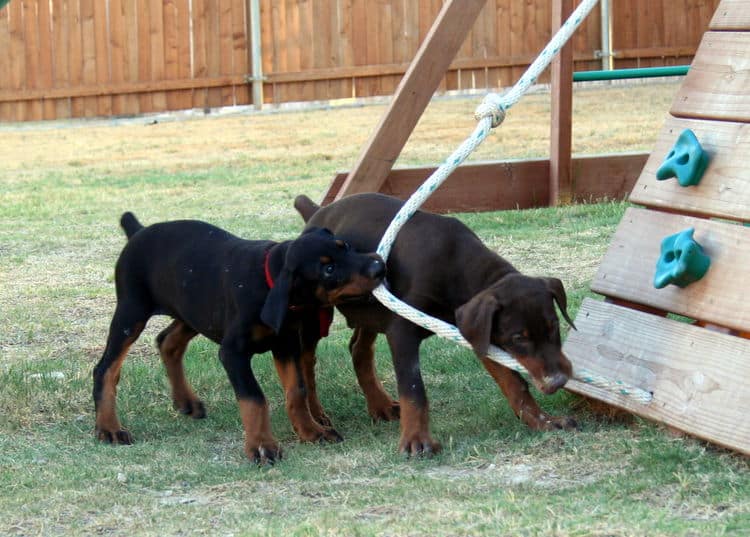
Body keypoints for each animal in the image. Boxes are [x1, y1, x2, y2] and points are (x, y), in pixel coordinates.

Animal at [93, 211, 384, 462]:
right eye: (328, 270)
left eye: (345, 246)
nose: (378, 266)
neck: (268, 280)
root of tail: (139, 231)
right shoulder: (233, 353)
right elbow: (254, 398)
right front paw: (262, 445)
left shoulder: (286, 345)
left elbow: (297, 390)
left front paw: (311, 431)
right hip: (132, 313)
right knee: (105, 368)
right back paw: (109, 428)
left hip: (196, 310)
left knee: (168, 342)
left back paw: (186, 401)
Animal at [296, 194, 580, 456]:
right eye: (518, 338)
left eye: (554, 326)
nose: (558, 381)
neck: (457, 266)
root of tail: (319, 211)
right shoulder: (402, 331)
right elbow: (413, 389)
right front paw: (416, 439)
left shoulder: (480, 334)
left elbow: (515, 383)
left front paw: (543, 421)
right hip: (314, 311)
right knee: (307, 362)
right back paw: (317, 415)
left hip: (373, 308)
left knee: (359, 349)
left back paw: (380, 405)